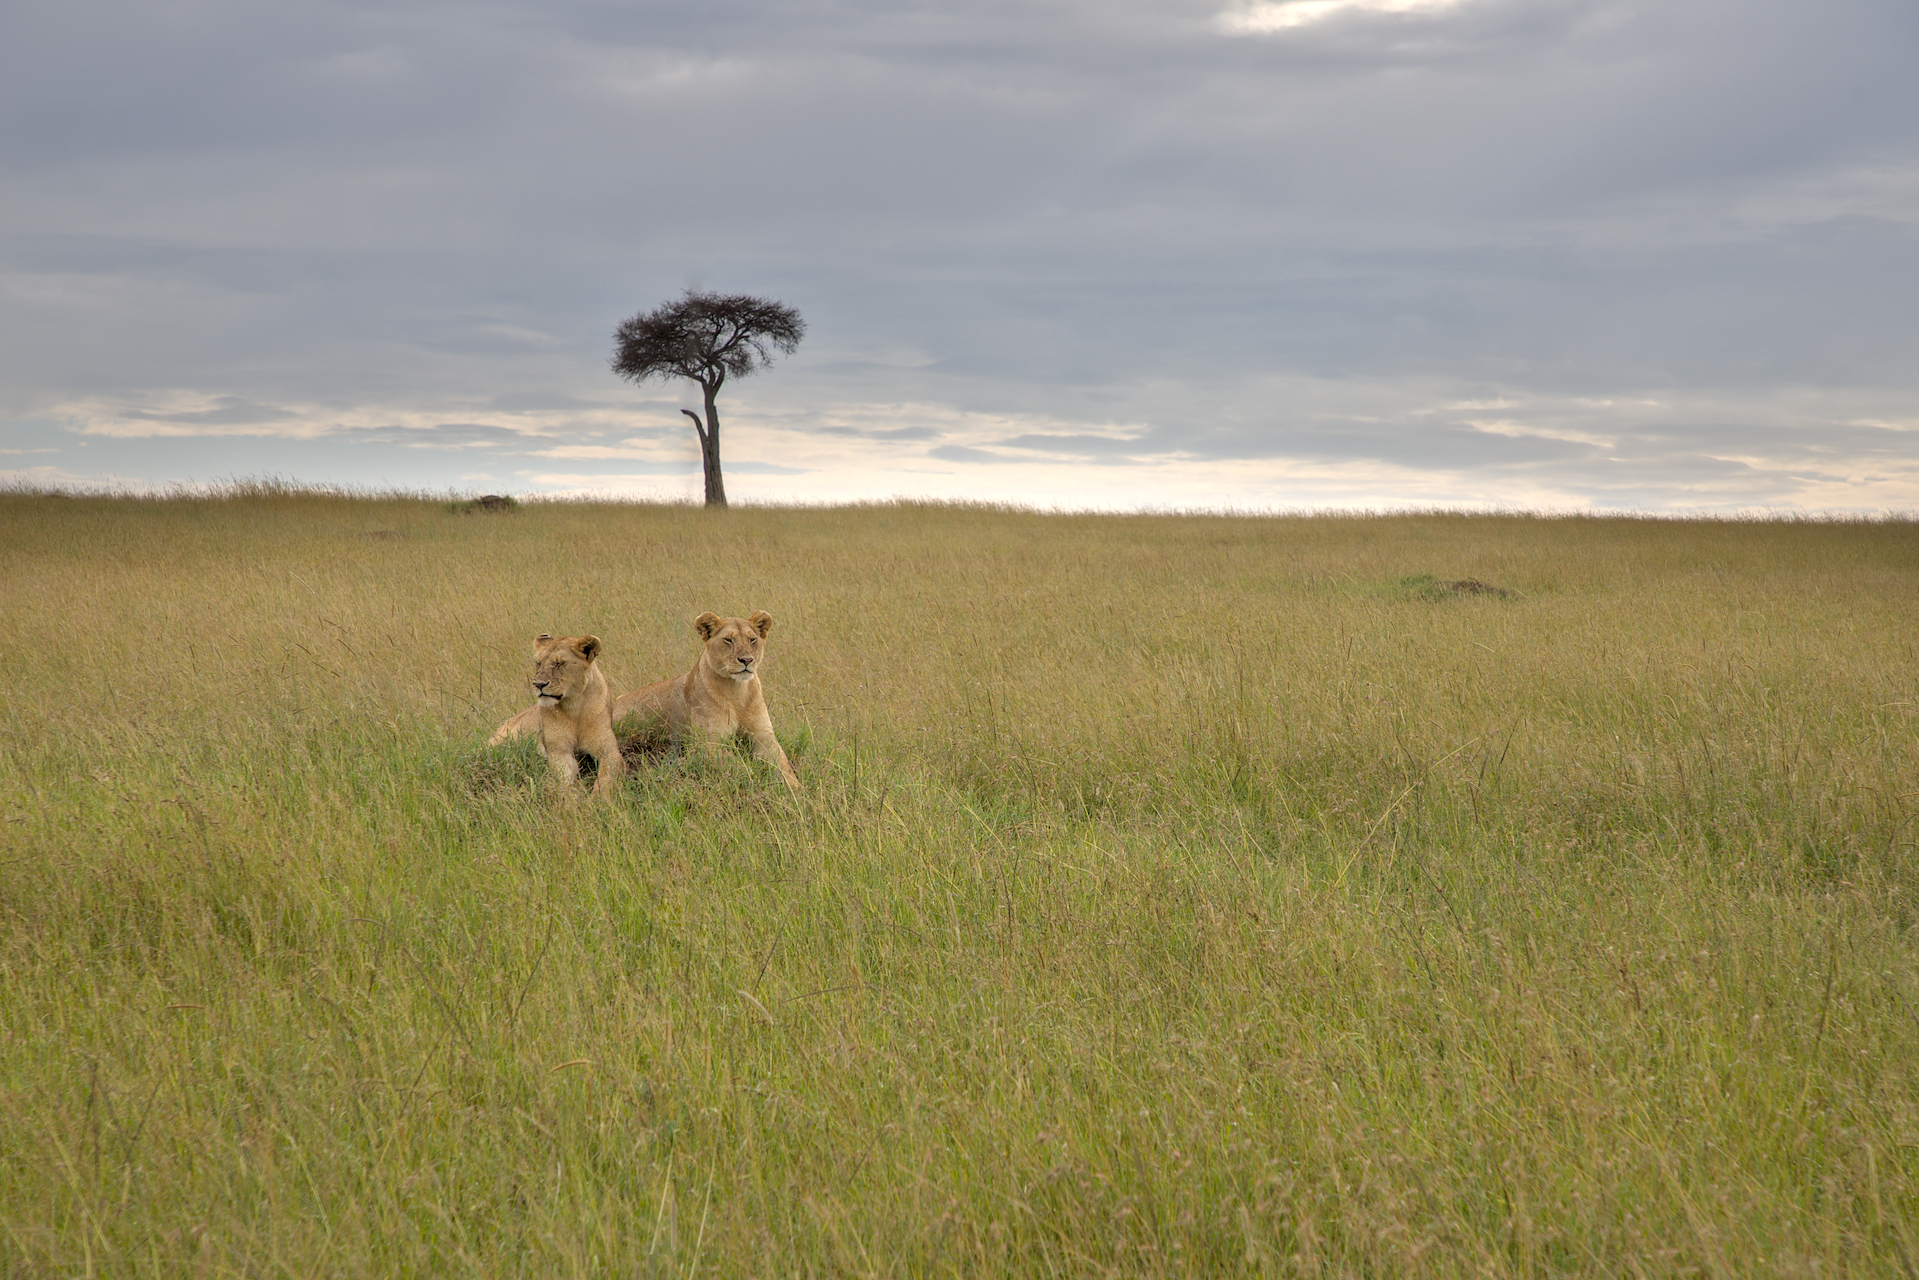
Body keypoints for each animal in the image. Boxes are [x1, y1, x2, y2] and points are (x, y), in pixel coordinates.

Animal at [487, 634, 627, 796]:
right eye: (538, 663)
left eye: (559, 664)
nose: (538, 684)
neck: (575, 706)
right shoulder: (559, 750)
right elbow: (564, 780)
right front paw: (572, 799)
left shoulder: (609, 750)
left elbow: (606, 778)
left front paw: (598, 799)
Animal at [612, 611, 800, 789]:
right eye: (728, 640)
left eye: (752, 639)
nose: (747, 660)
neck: (737, 691)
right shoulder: (709, 742)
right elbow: (739, 765)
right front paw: (758, 781)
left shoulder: (764, 735)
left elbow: (784, 766)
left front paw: (796, 789)